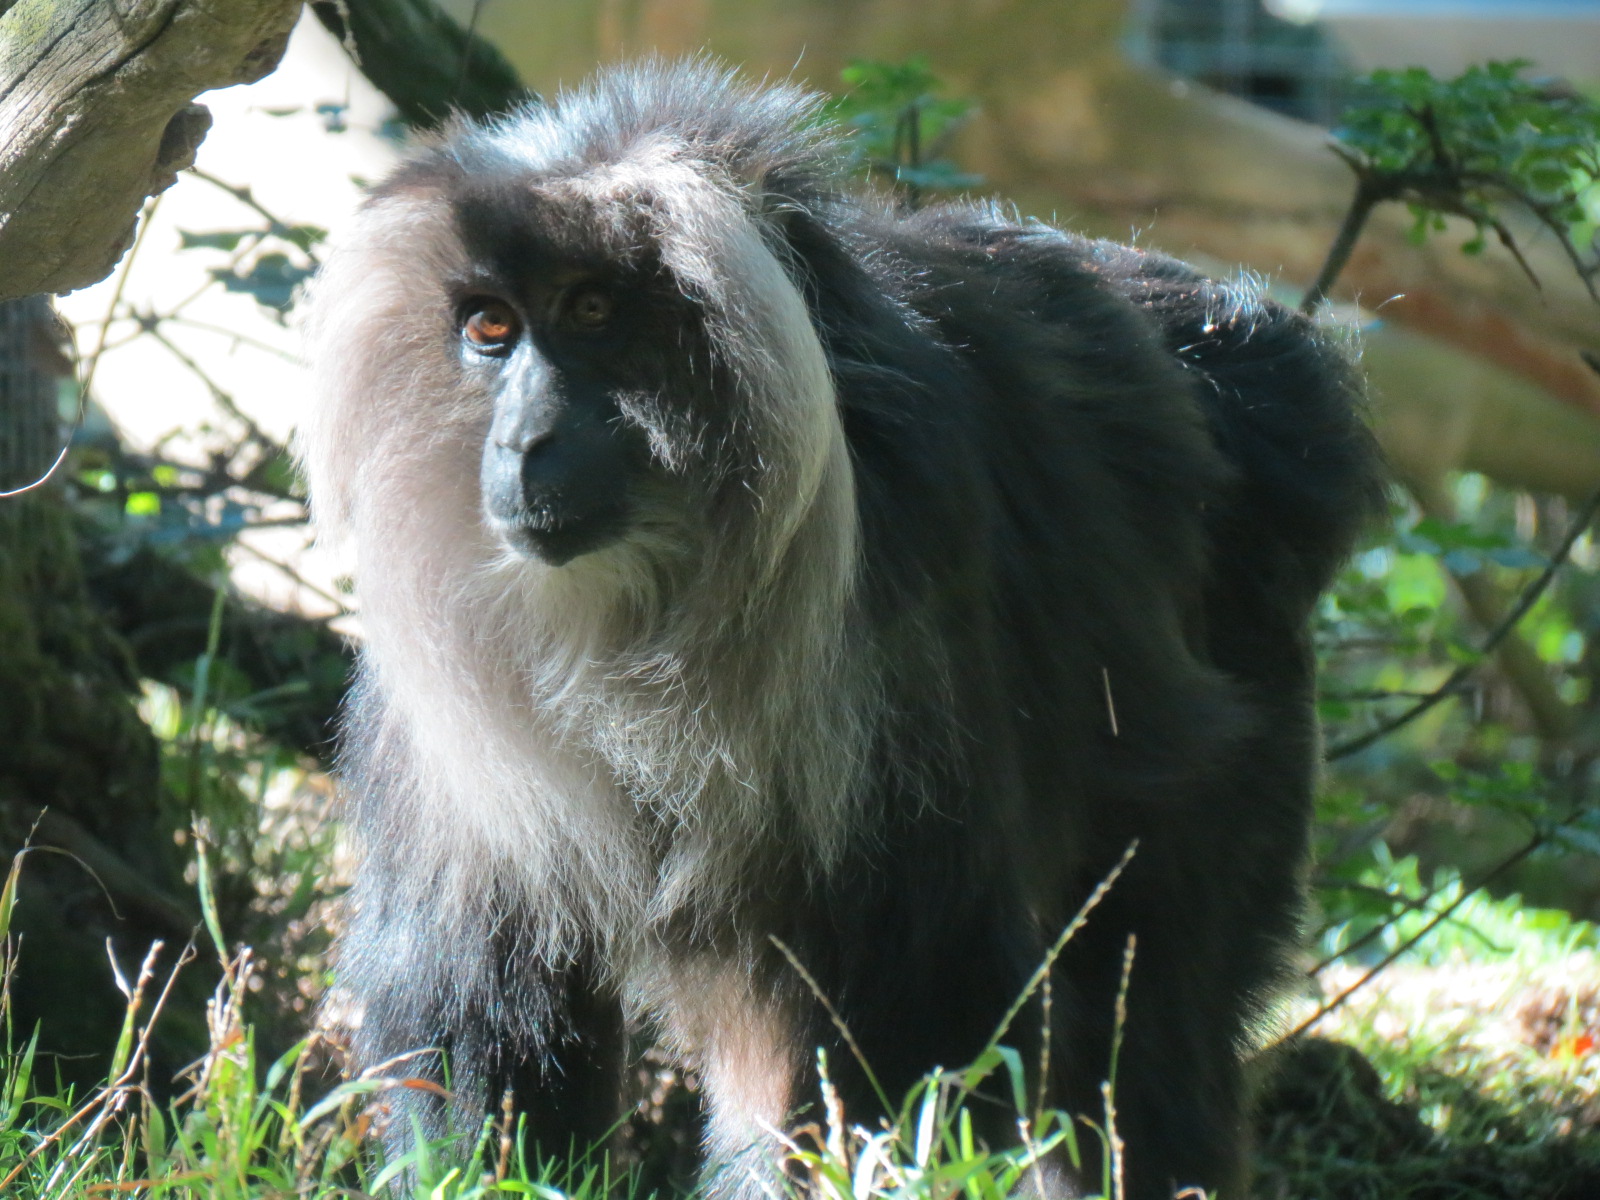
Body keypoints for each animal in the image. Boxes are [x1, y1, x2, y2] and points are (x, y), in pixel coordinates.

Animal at [298, 59, 1381, 1200]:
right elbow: (483, 1016)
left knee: (1145, 1030)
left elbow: (906, 1022)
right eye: (489, 330)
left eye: (593, 310)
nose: (522, 442)